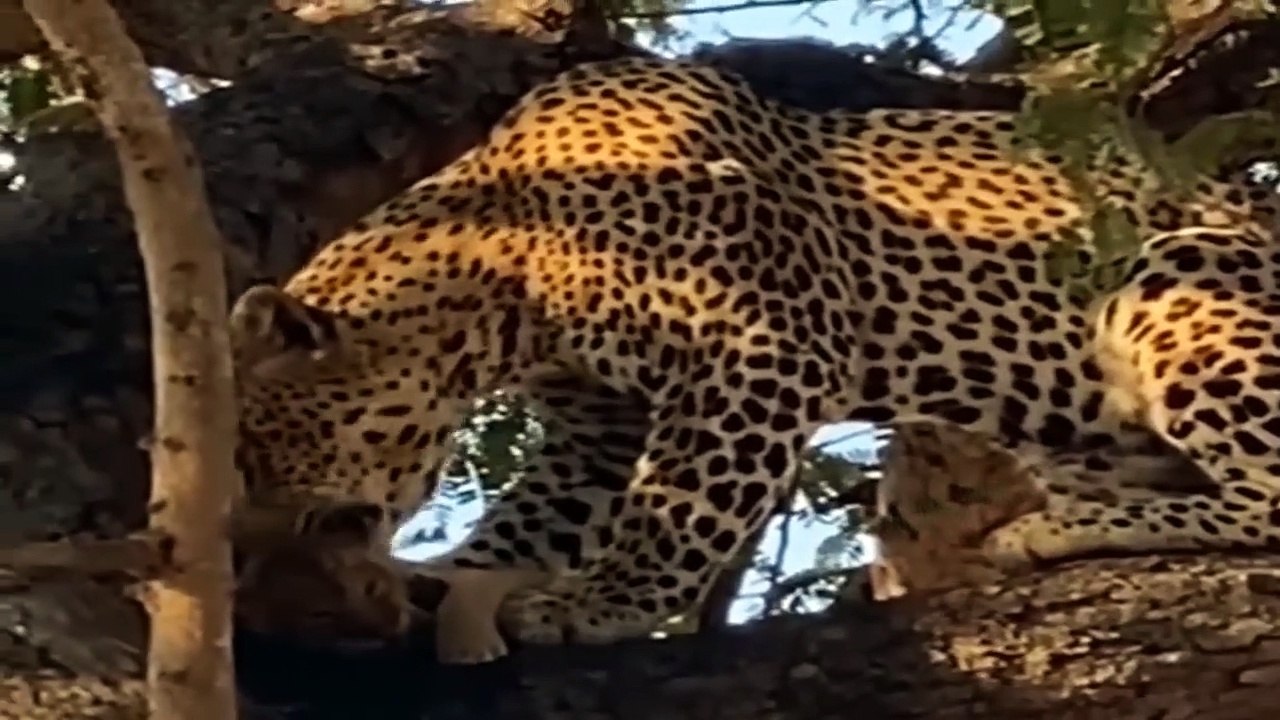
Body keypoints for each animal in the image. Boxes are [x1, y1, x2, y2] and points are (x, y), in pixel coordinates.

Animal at [226, 53, 1280, 665]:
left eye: (255, 452)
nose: (249, 547)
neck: (500, 257)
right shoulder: (595, 421)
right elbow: (544, 515)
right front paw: (455, 580)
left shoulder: (757, 349)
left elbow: (678, 505)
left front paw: (600, 607)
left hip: (1176, 274)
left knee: (1265, 503)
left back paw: (1061, 528)